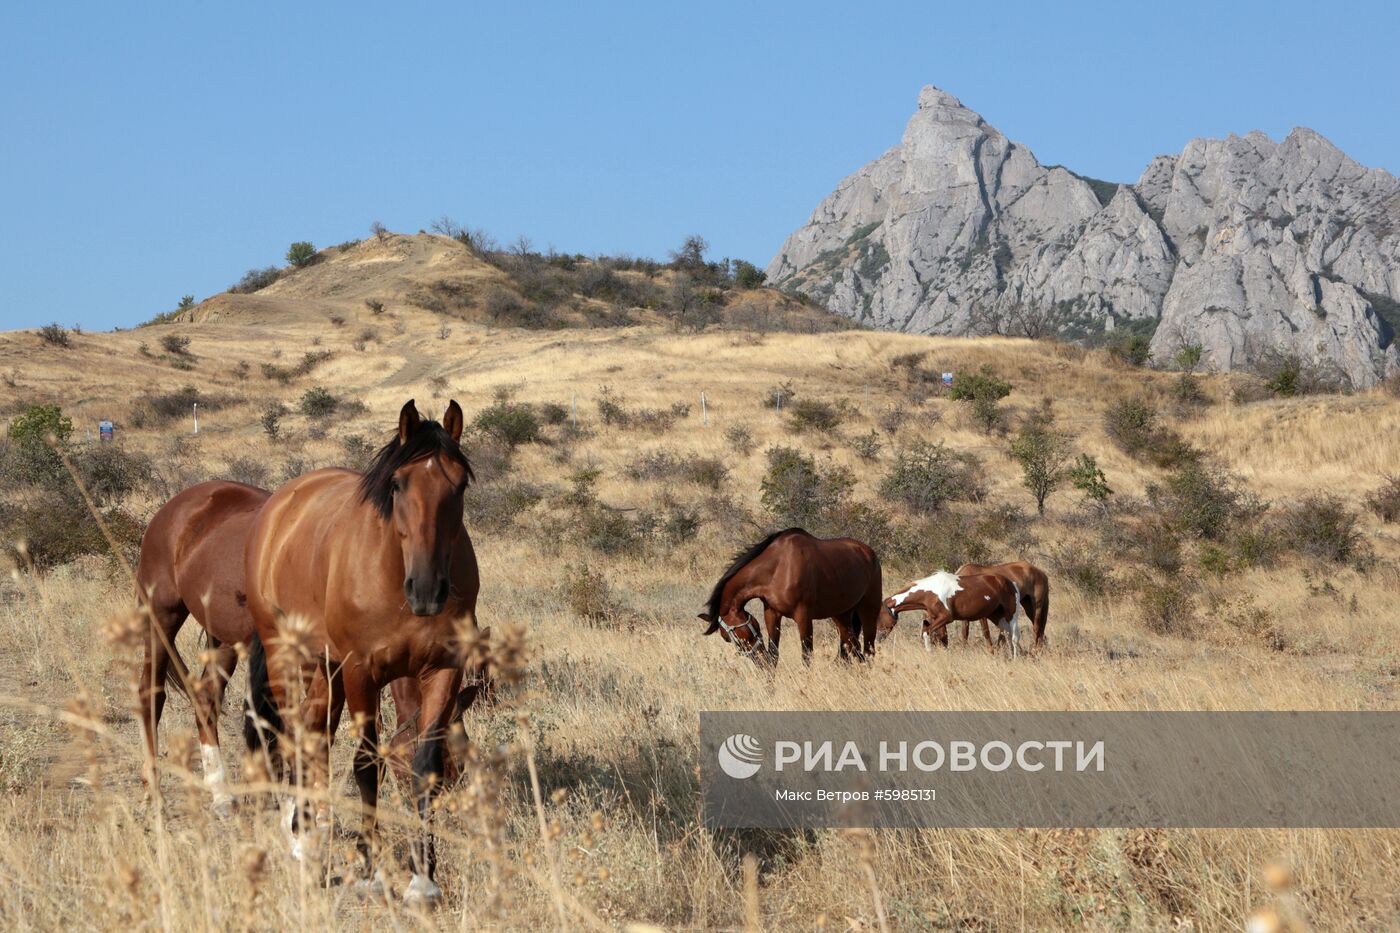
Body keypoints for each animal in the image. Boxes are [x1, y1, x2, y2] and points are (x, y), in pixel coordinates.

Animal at [134, 479, 270, 812]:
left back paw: (220, 791)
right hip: (161, 618)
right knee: (151, 693)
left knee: (206, 698)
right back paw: (154, 789)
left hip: (222, 638)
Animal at [242, 397, 481, 902]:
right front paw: (371, 869)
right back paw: (302, 839)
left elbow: (422, 766)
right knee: (294, 737)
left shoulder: (442, 671)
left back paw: (310, 829)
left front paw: (423, 879)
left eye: (460, 482)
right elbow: (368, 764)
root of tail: (279, 506)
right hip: (286, 656)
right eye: (397, 483)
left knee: (314, 734)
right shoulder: (361, 673)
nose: (428, 589)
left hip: (324, 667)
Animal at [700, 526, 884, 664]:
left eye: (729, 638)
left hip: (868, 612)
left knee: (868, 651)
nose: (759, 660)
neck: (778, 567)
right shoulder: (772, 614)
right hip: (841, 615)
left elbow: (806, 657)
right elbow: (774, 656)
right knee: (853, 649)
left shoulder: (803, 618)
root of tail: (869, 553)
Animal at [873, 571, 1030, 658]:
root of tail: (1011, 583)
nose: (877, 639)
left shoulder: (946, 618)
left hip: (1011, 615)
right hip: (996, 616)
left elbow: (927, 633)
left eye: (879, 618)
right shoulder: (935, 619)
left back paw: (1015, 659)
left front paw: (930, 653)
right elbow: (939, 637)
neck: (930, 591)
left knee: (1014, 637)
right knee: (1008, 635)